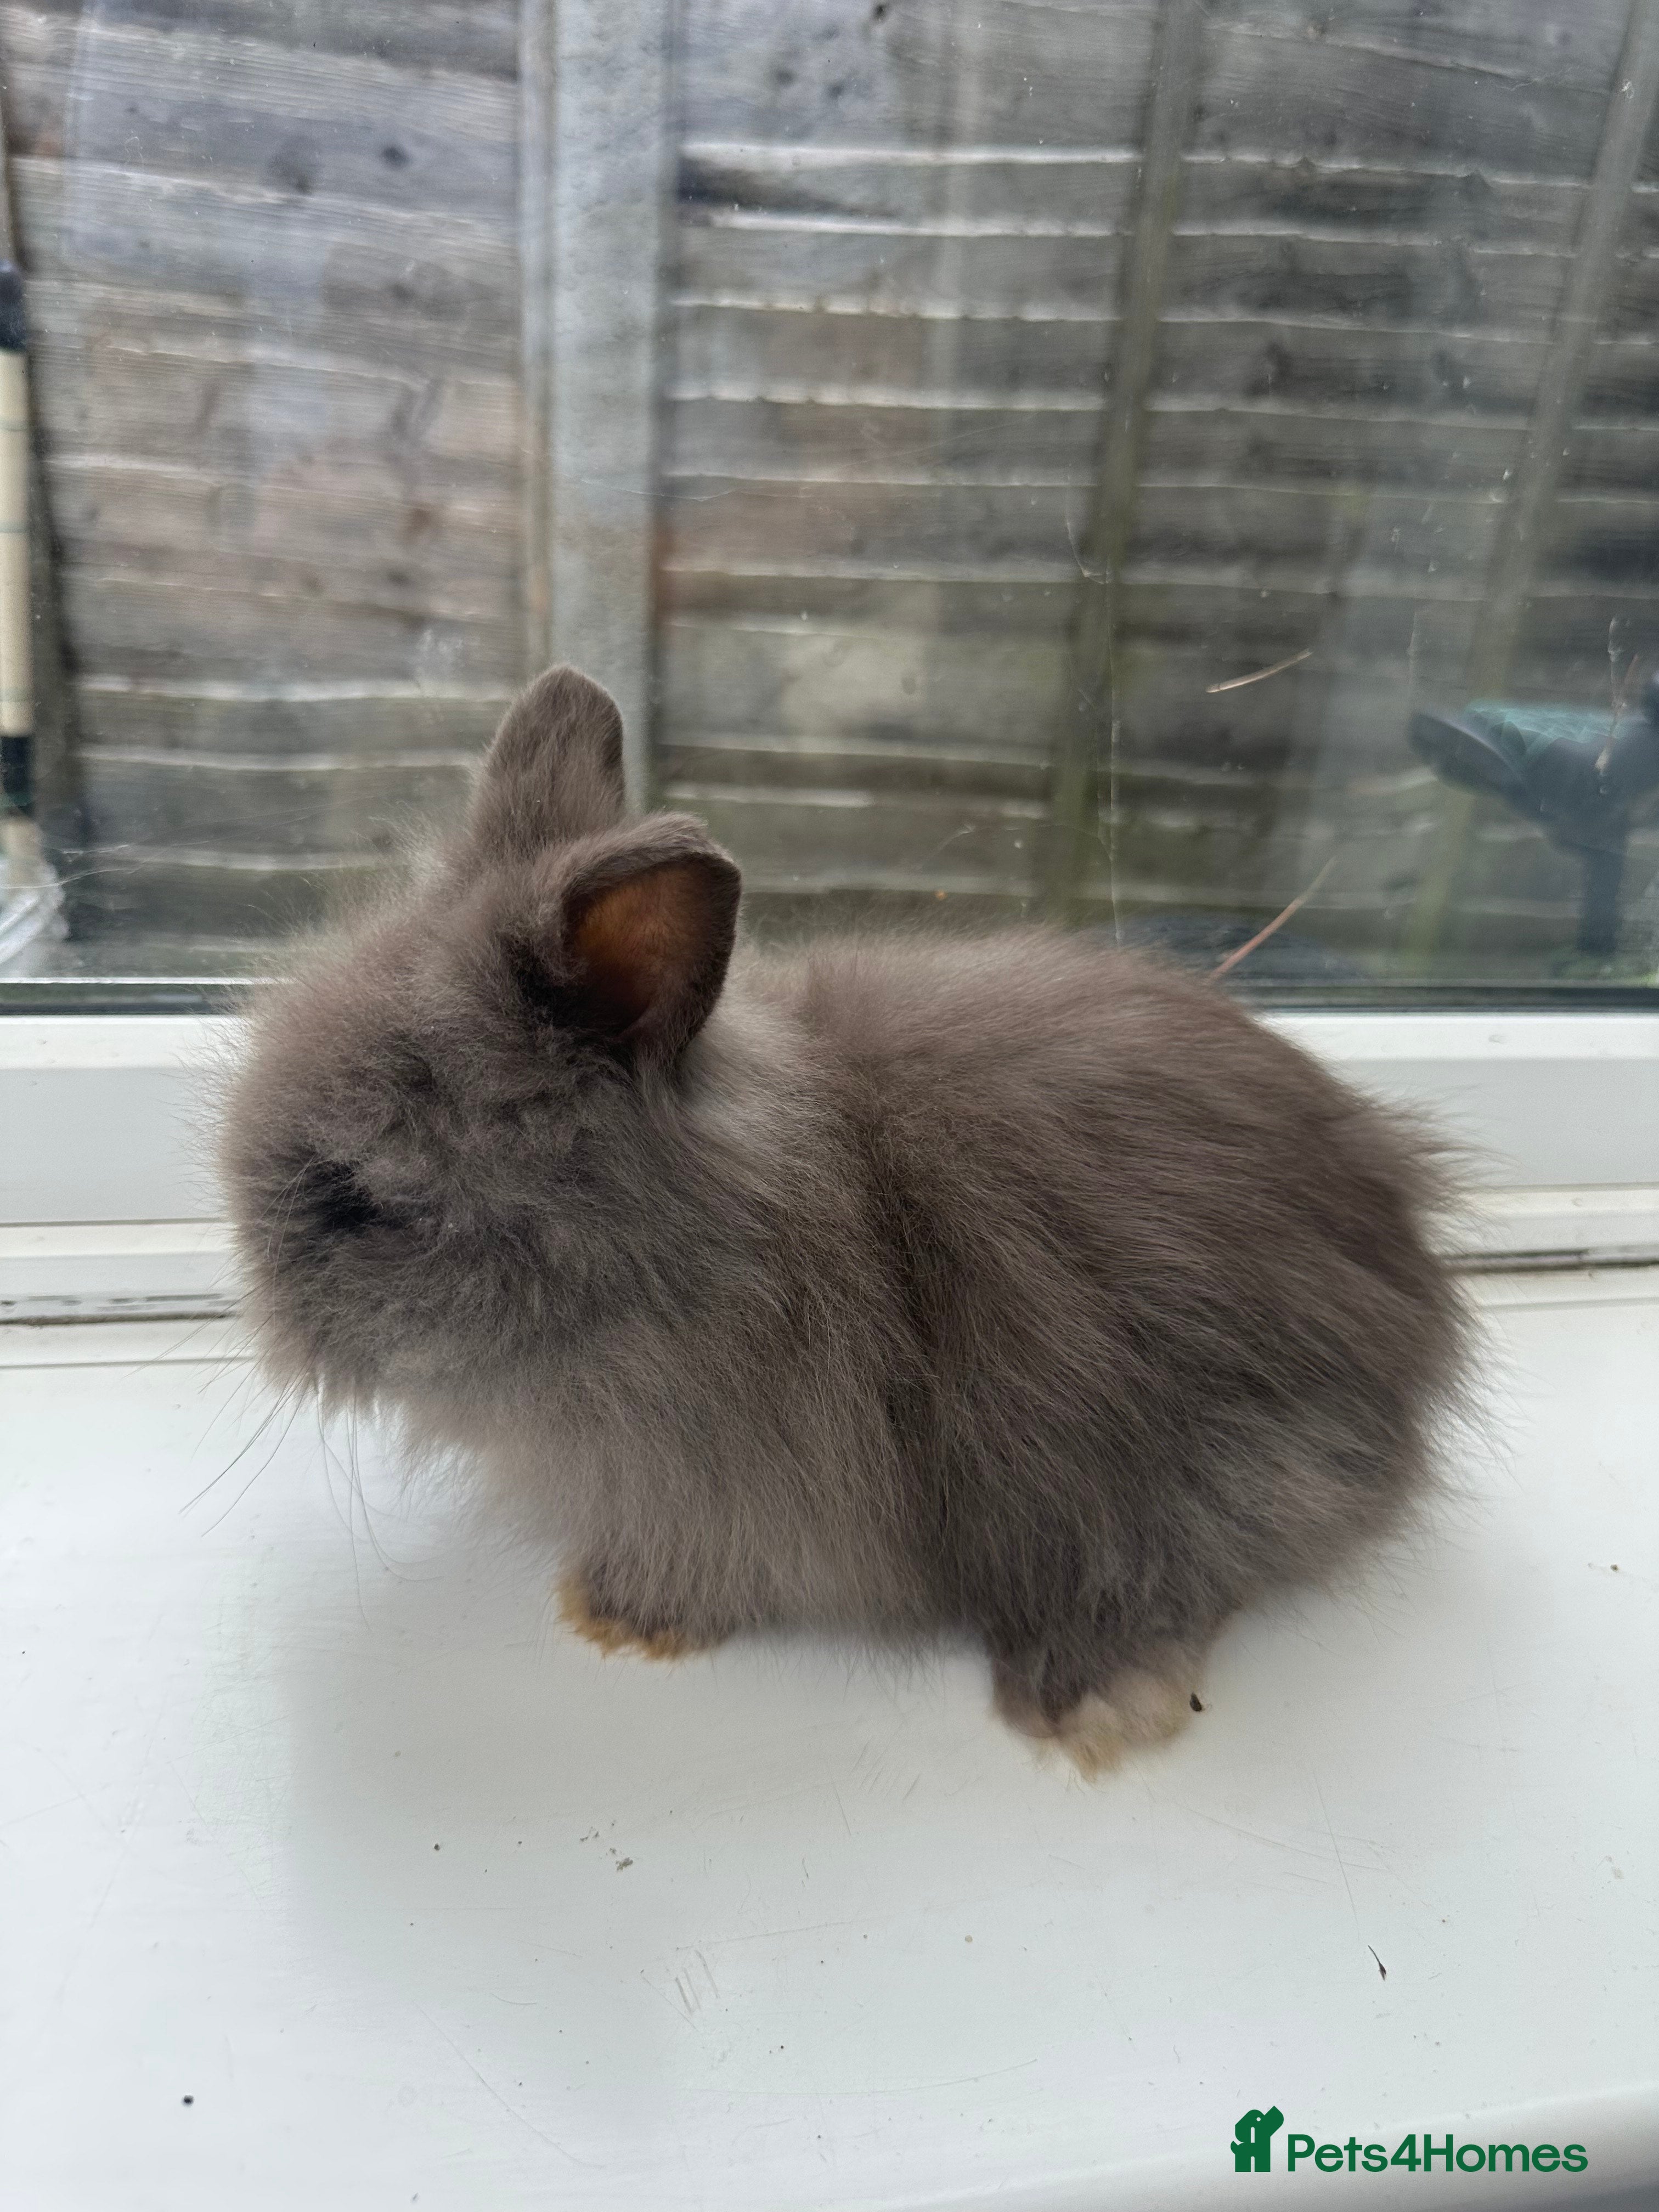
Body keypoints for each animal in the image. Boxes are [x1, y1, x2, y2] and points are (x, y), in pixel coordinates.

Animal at [221, 666, 1469, 1776]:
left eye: (364, 1197)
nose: (266, 1317)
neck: (692, 1253)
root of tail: (1415, 1293)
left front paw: (617, 1615)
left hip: (1201, 1463)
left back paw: (1088, 1699)